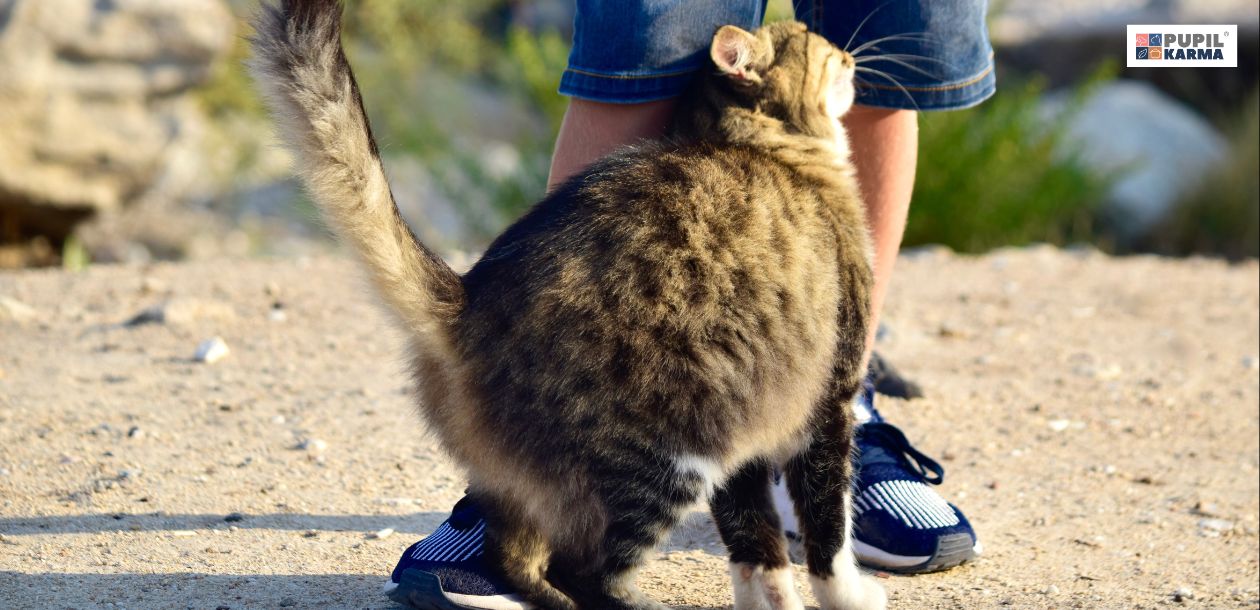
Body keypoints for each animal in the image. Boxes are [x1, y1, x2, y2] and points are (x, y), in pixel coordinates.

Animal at [250, 2, 887, 607]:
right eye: (814, 41)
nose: (849, 53)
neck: (767, 148)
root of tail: (467, 300)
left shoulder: (752, 431)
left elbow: (757, 550)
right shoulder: (826, 402)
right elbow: (827, 533)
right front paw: (850, 596)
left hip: (556, 478)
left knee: (516, 558)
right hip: (668, 460)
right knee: (581, 572)